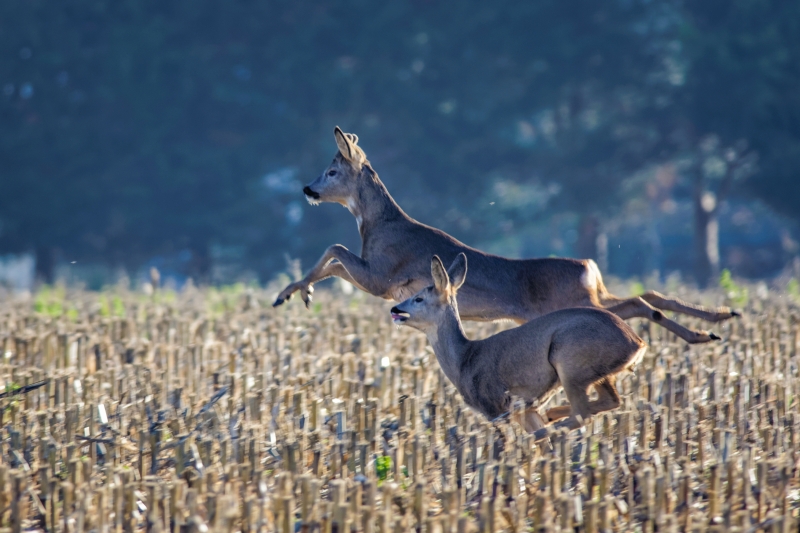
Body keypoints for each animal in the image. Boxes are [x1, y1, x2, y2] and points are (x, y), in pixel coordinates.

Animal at [276, 126, 736, 342]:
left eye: (331, 171)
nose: (307, 189)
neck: (377, 224)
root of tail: (589, 267)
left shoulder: (381, 275)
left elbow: (334, 249)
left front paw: (292, 293)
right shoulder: (378, 278)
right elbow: (334, 258)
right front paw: (301, 292)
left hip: (576, 303)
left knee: (640, 302)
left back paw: (704, 331)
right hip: (592, 296)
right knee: (648, 295)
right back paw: (717, 319)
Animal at [390, 255, 648, 436]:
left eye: (419, 298)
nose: (395, 309)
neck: (464, 359)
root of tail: (637, 344)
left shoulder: (493, 405)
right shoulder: (526, 410)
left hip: (571, 362)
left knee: (581, 415)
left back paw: (546, 429)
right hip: (596, 373)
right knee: (611, 401)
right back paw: (551, 417)